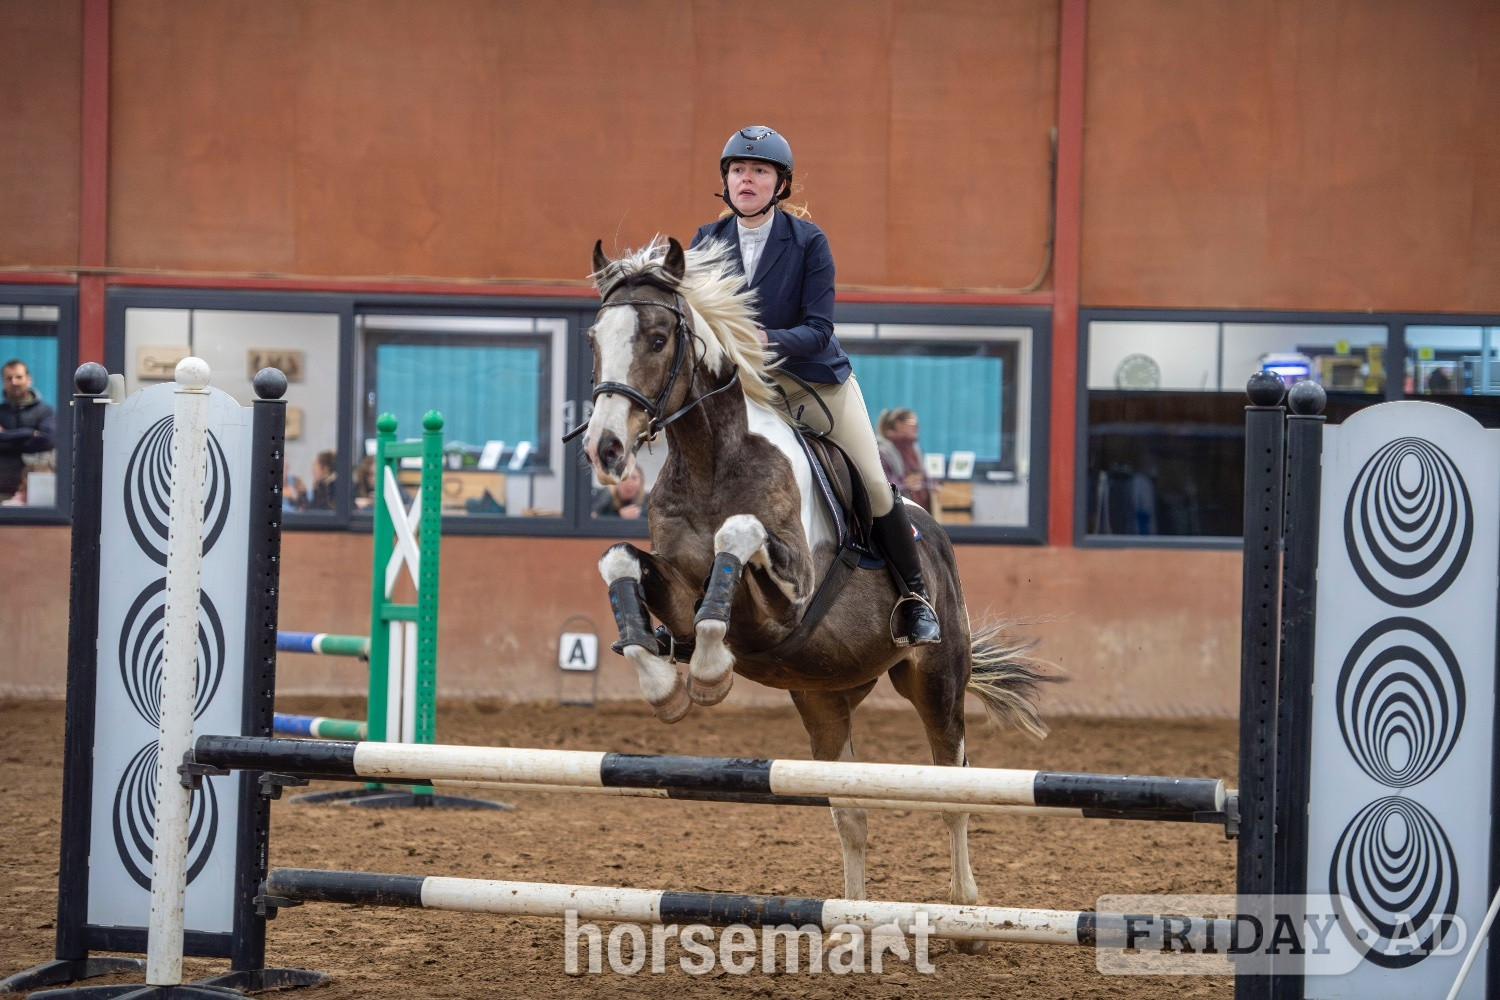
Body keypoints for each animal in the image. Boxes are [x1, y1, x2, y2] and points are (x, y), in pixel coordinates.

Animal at [578, 235, 1051, 921]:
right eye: (596, 337)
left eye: (660, 337)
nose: (605, 448)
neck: (709, 458)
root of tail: (934, 533)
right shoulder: (678, 586)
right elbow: (620, 559)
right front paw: (664, 681)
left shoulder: (791, 596)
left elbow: (737, 536)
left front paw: (711, 673)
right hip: (824, 698)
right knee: (850, 811)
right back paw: (851, 923)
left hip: (936, 681)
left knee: (952, 783)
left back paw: (964, 908)